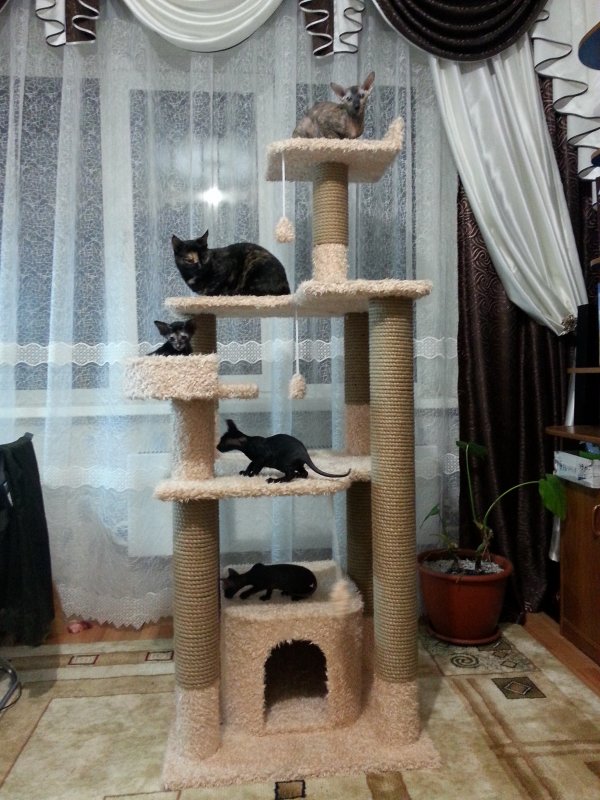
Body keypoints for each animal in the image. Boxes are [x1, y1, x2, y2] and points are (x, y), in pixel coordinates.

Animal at [216, 419, 351, 483]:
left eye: (222, 442)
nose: (217, 447)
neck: (249, 444)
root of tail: (305, 453)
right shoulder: (255, 460)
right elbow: (250, 464)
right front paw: (245, 472)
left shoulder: (261, 458)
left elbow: (256, 468)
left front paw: (251, 475)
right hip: (295, 464)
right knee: (304, 473)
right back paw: (298, 475)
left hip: (282, 462)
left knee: (290, 474)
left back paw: (275, 480)